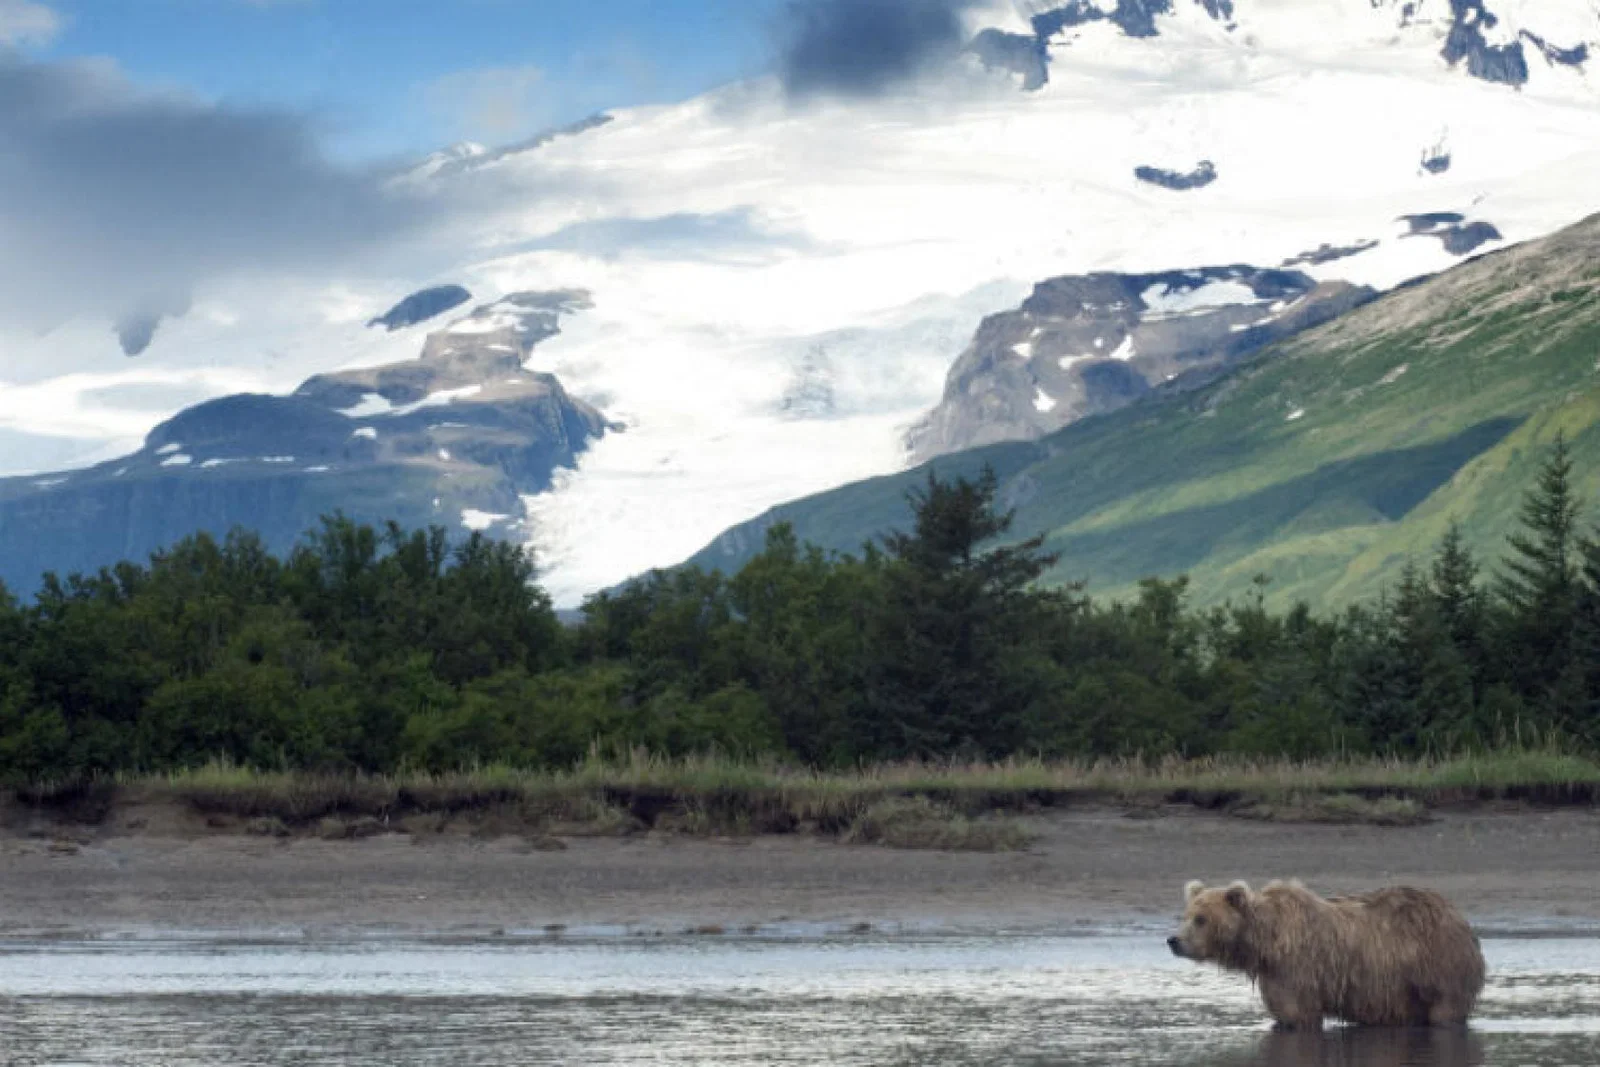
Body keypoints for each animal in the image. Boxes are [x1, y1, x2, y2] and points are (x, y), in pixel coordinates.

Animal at [1168, 879, 1486, 1030]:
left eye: (1201, 919)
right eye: (1186, 915)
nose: (1174, 941)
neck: (1265, 942)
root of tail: (1457, 915)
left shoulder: (1297, 969)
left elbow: (1299, 1013)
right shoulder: (1275, 973)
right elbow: (1283, 1013)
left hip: (1439, 966)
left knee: (1445, 1012)